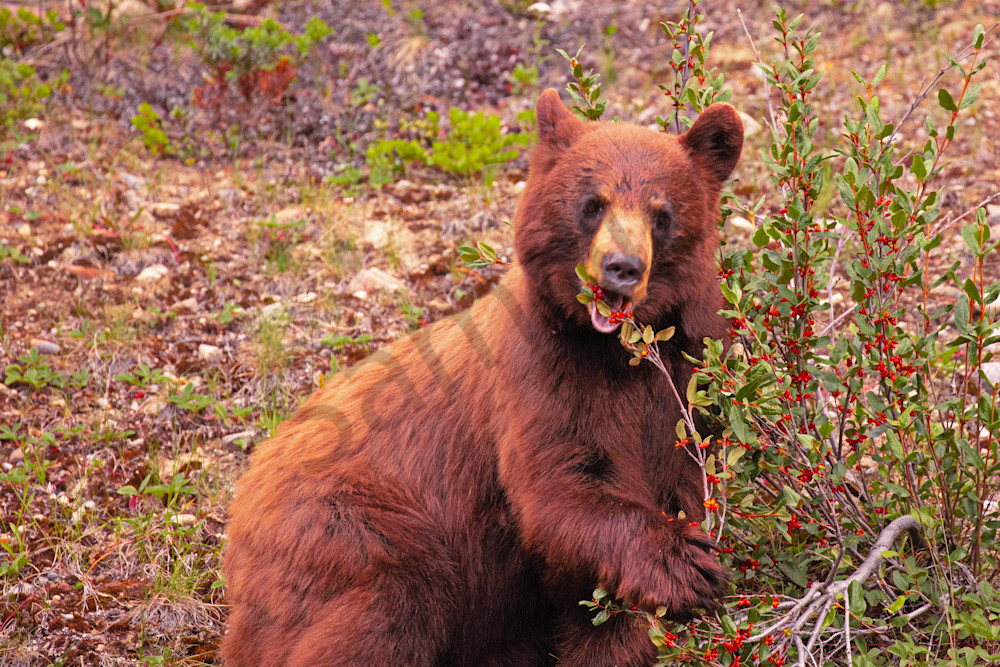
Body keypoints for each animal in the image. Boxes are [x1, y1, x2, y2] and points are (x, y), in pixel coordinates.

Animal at [222, 88, 743, 666]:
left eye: (662, 214)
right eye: (592, 204)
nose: (621, 267)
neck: (619, 354)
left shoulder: (693, 371)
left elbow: (686, 476)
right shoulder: (540, 373)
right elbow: (559, 488)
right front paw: (682, 564)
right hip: (340, 527)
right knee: (392, 600)